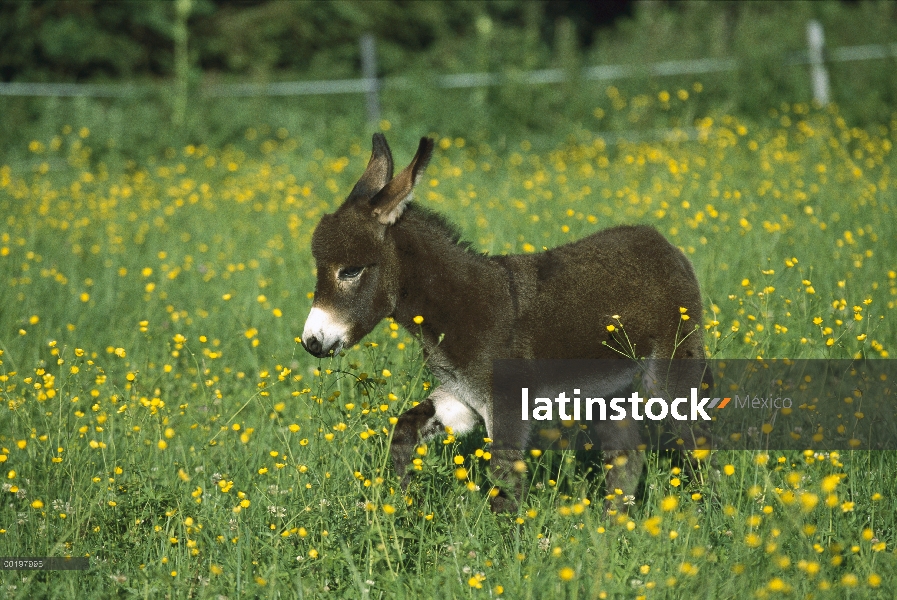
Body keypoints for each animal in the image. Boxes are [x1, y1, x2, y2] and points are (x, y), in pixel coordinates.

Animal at [304, 134, 712, 512]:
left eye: (351, 270)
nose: (311, 342)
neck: (459, 307)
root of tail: (663, 243)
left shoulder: (508, 404)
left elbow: (504, 483)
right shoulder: (462, 396)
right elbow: (403, 431)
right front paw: (402, 506)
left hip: (672, 366)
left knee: (697, 438)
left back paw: (706, 510)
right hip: (613, 390)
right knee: (626, 459)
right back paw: (616, 525)